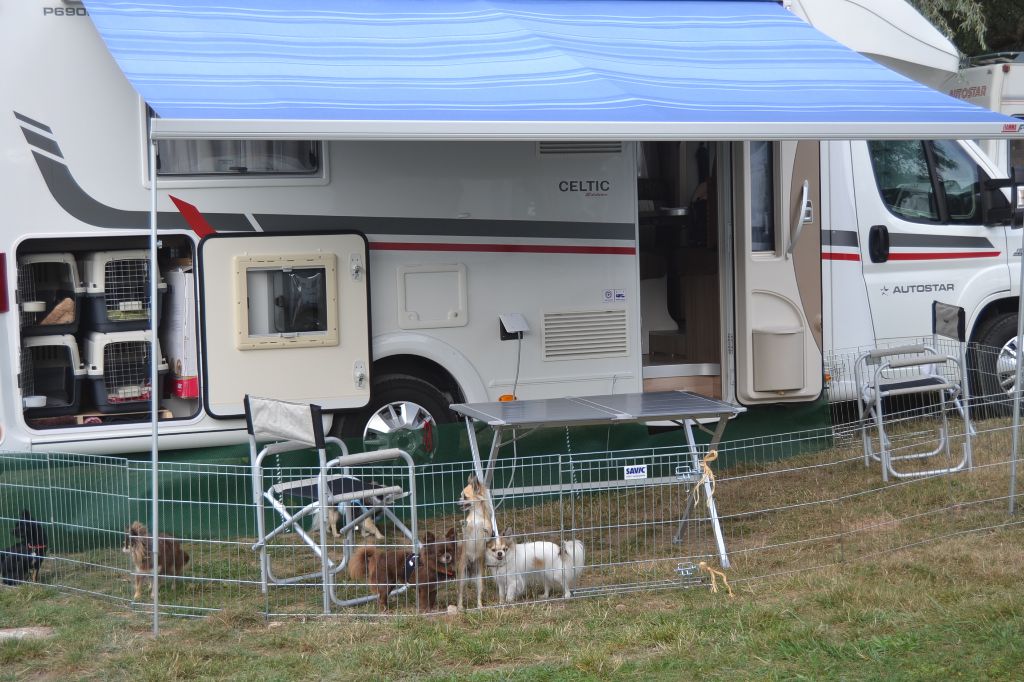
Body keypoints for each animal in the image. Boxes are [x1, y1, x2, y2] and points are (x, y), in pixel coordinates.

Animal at [456, 471, 491, 606]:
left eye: (464, 497)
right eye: (461, 495)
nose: (457, 501)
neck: (477, 516)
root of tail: (470, 576)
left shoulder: (488, 531)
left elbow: (488, 532)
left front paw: (485, 530)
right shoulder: (467, 535)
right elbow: (465, 530)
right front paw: (463, 523)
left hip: (480, 580)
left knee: (479, 594)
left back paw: (479, 606)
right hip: (462, 578)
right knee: (460, 594)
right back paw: (460, 607)